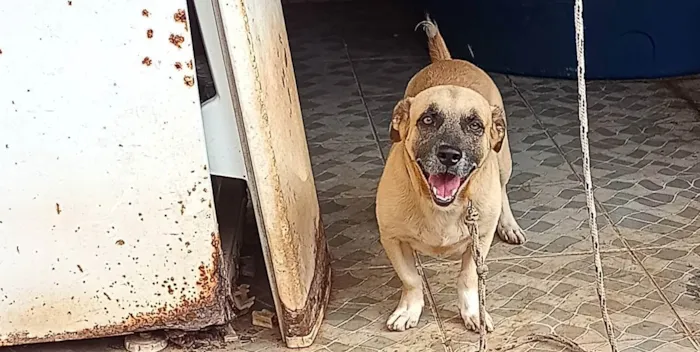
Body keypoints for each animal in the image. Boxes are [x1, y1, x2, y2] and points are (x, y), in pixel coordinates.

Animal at [378, 18, 524, 332]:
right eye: (427, 120)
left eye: (475, 125)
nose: (449, 155)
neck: (440, 207)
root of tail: (448, 60)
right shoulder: (393, 239)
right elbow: (411, 278)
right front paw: (409, 309)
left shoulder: (480, 238)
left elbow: (467, 278)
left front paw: (473, 312)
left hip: (503, 161)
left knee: (503, 189)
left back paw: (508, 224)